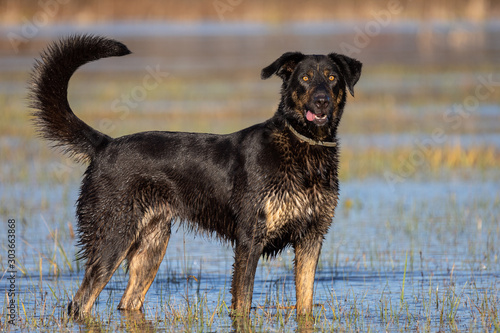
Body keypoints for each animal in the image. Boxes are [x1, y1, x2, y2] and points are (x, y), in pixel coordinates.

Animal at [30, 35, 360, 318]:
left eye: (332, 78)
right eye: (304, 78)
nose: (321, 101)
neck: (305, 145)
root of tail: (104, 145)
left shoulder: (311, 238)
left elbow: (305, 303)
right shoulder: (250, 240)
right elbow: (243, 302)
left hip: (151, 247)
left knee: (127, 303)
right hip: (113, 236)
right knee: (80, 303)